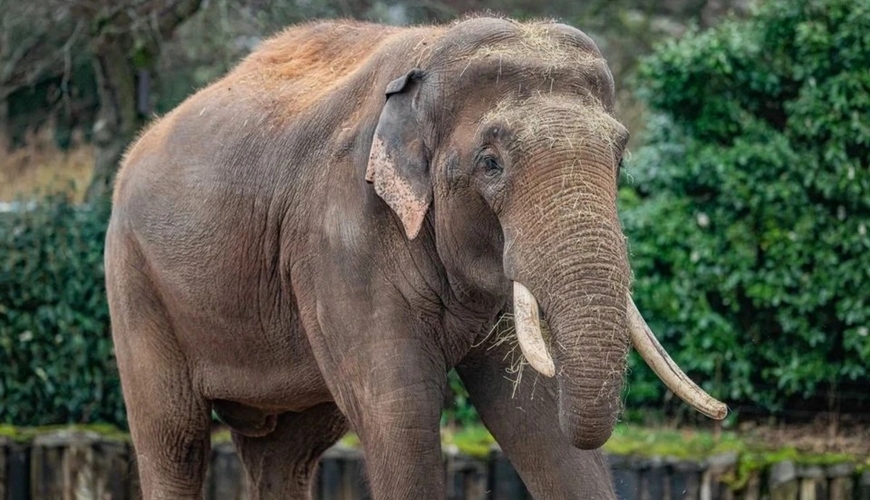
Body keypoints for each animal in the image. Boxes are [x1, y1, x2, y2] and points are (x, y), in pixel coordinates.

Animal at [104, 16, 725, 500]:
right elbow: (401, 415)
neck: (429, 52)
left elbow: (537, 415)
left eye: (620, 157)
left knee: (287, 451)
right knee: (174, 438)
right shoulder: (338, 234)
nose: (721, 413)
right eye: (490, 164)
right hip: (134, 280)